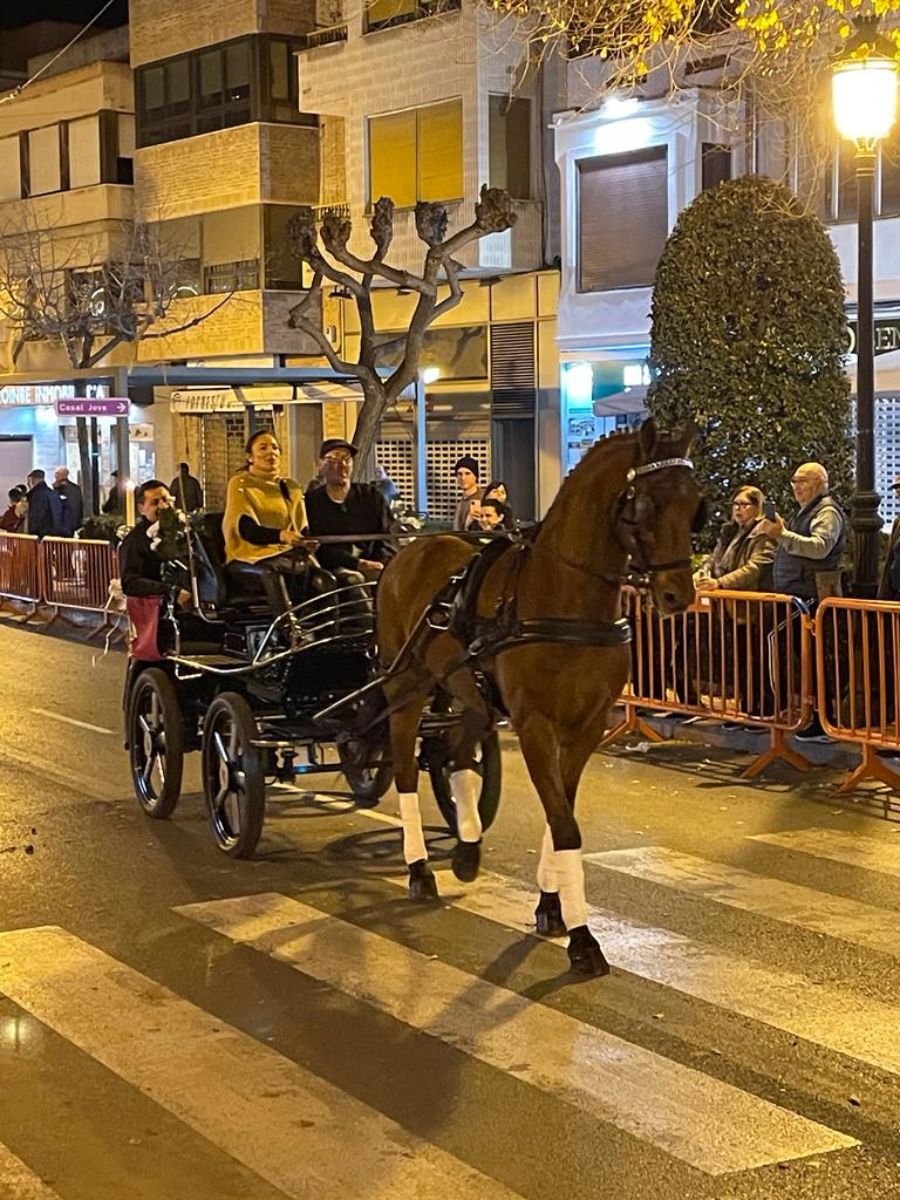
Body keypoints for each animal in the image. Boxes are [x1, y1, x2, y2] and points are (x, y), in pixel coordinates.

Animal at [376, 420, 700, 974]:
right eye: (647, 503)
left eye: (695, 501)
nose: (680, 595)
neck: (567, 598)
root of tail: (409, 550)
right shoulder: (534, 727)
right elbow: (565, 825)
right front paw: (583, 938)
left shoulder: (586, 728)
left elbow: (559, 813)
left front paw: (553, 907)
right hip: (408, 687)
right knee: (403, 772)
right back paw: (419, 868)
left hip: (470, 693)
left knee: (456, 752)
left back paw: (466, 848)